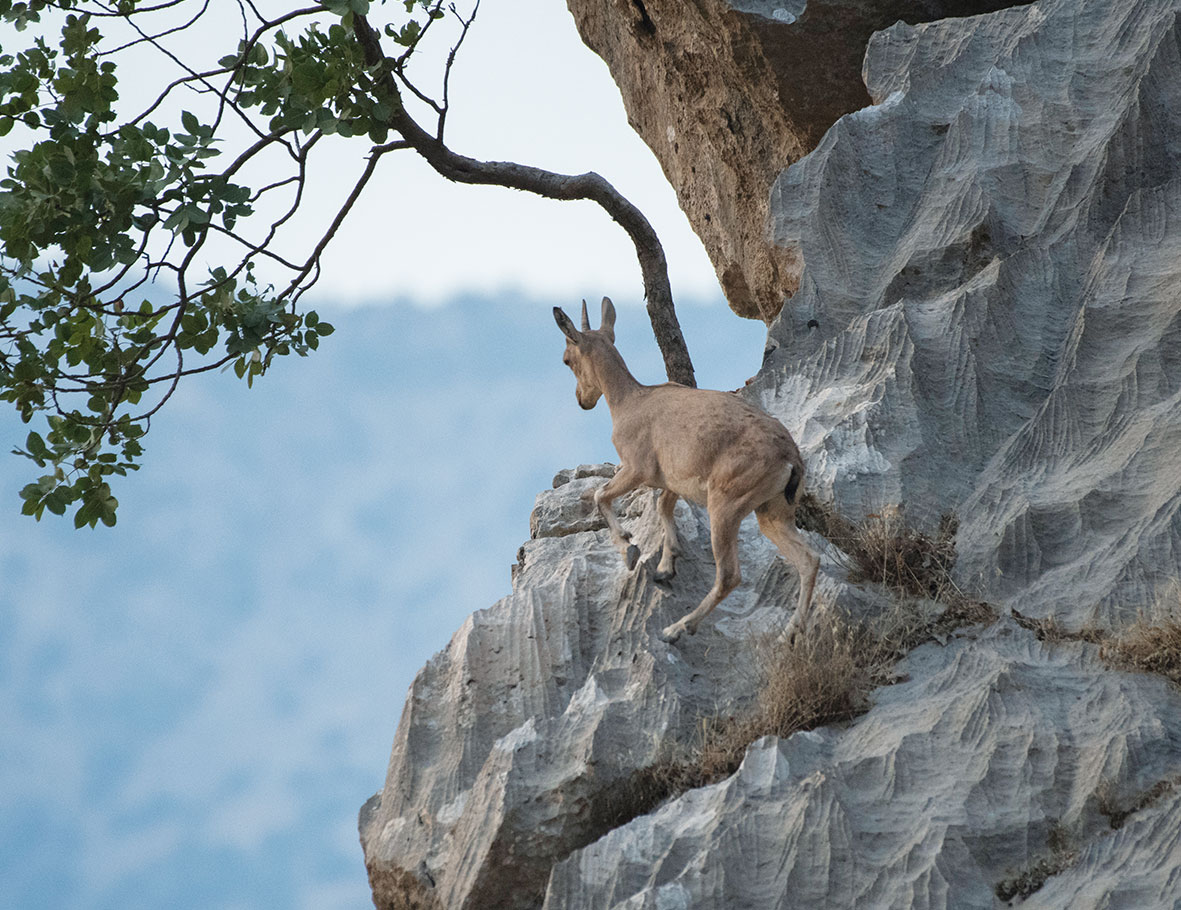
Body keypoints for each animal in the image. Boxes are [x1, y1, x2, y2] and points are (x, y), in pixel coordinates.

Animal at [550, 295, 812, 642]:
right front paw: (665, 567)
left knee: (730, 575)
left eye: (566, 360)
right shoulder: (674, 479)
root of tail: (790, 459)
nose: (583, 400)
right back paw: (790, 632)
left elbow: (601, 496)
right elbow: (663, 506)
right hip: (773, 512)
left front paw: (629, 549)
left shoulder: (636, 468)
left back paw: (677, 628)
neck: (629, 401)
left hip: (727, 504)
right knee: (809, 561)